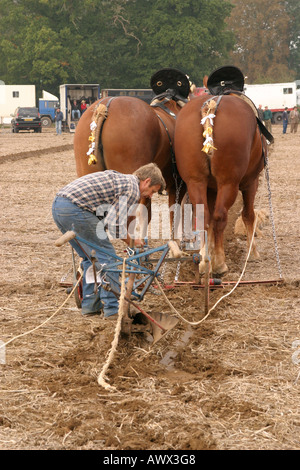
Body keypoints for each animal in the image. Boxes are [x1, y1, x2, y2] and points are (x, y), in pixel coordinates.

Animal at [173, 92, 268, 276]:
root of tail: (210, 105)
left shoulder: (210, 188)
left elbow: (208, 219)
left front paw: (207, 253)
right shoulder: (250, 183)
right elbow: (248, 215)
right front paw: (252, 252)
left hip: (196, 181)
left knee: (203, 215)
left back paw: (205, 261)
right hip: (228, 183)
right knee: (220, 216)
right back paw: (220, 264)